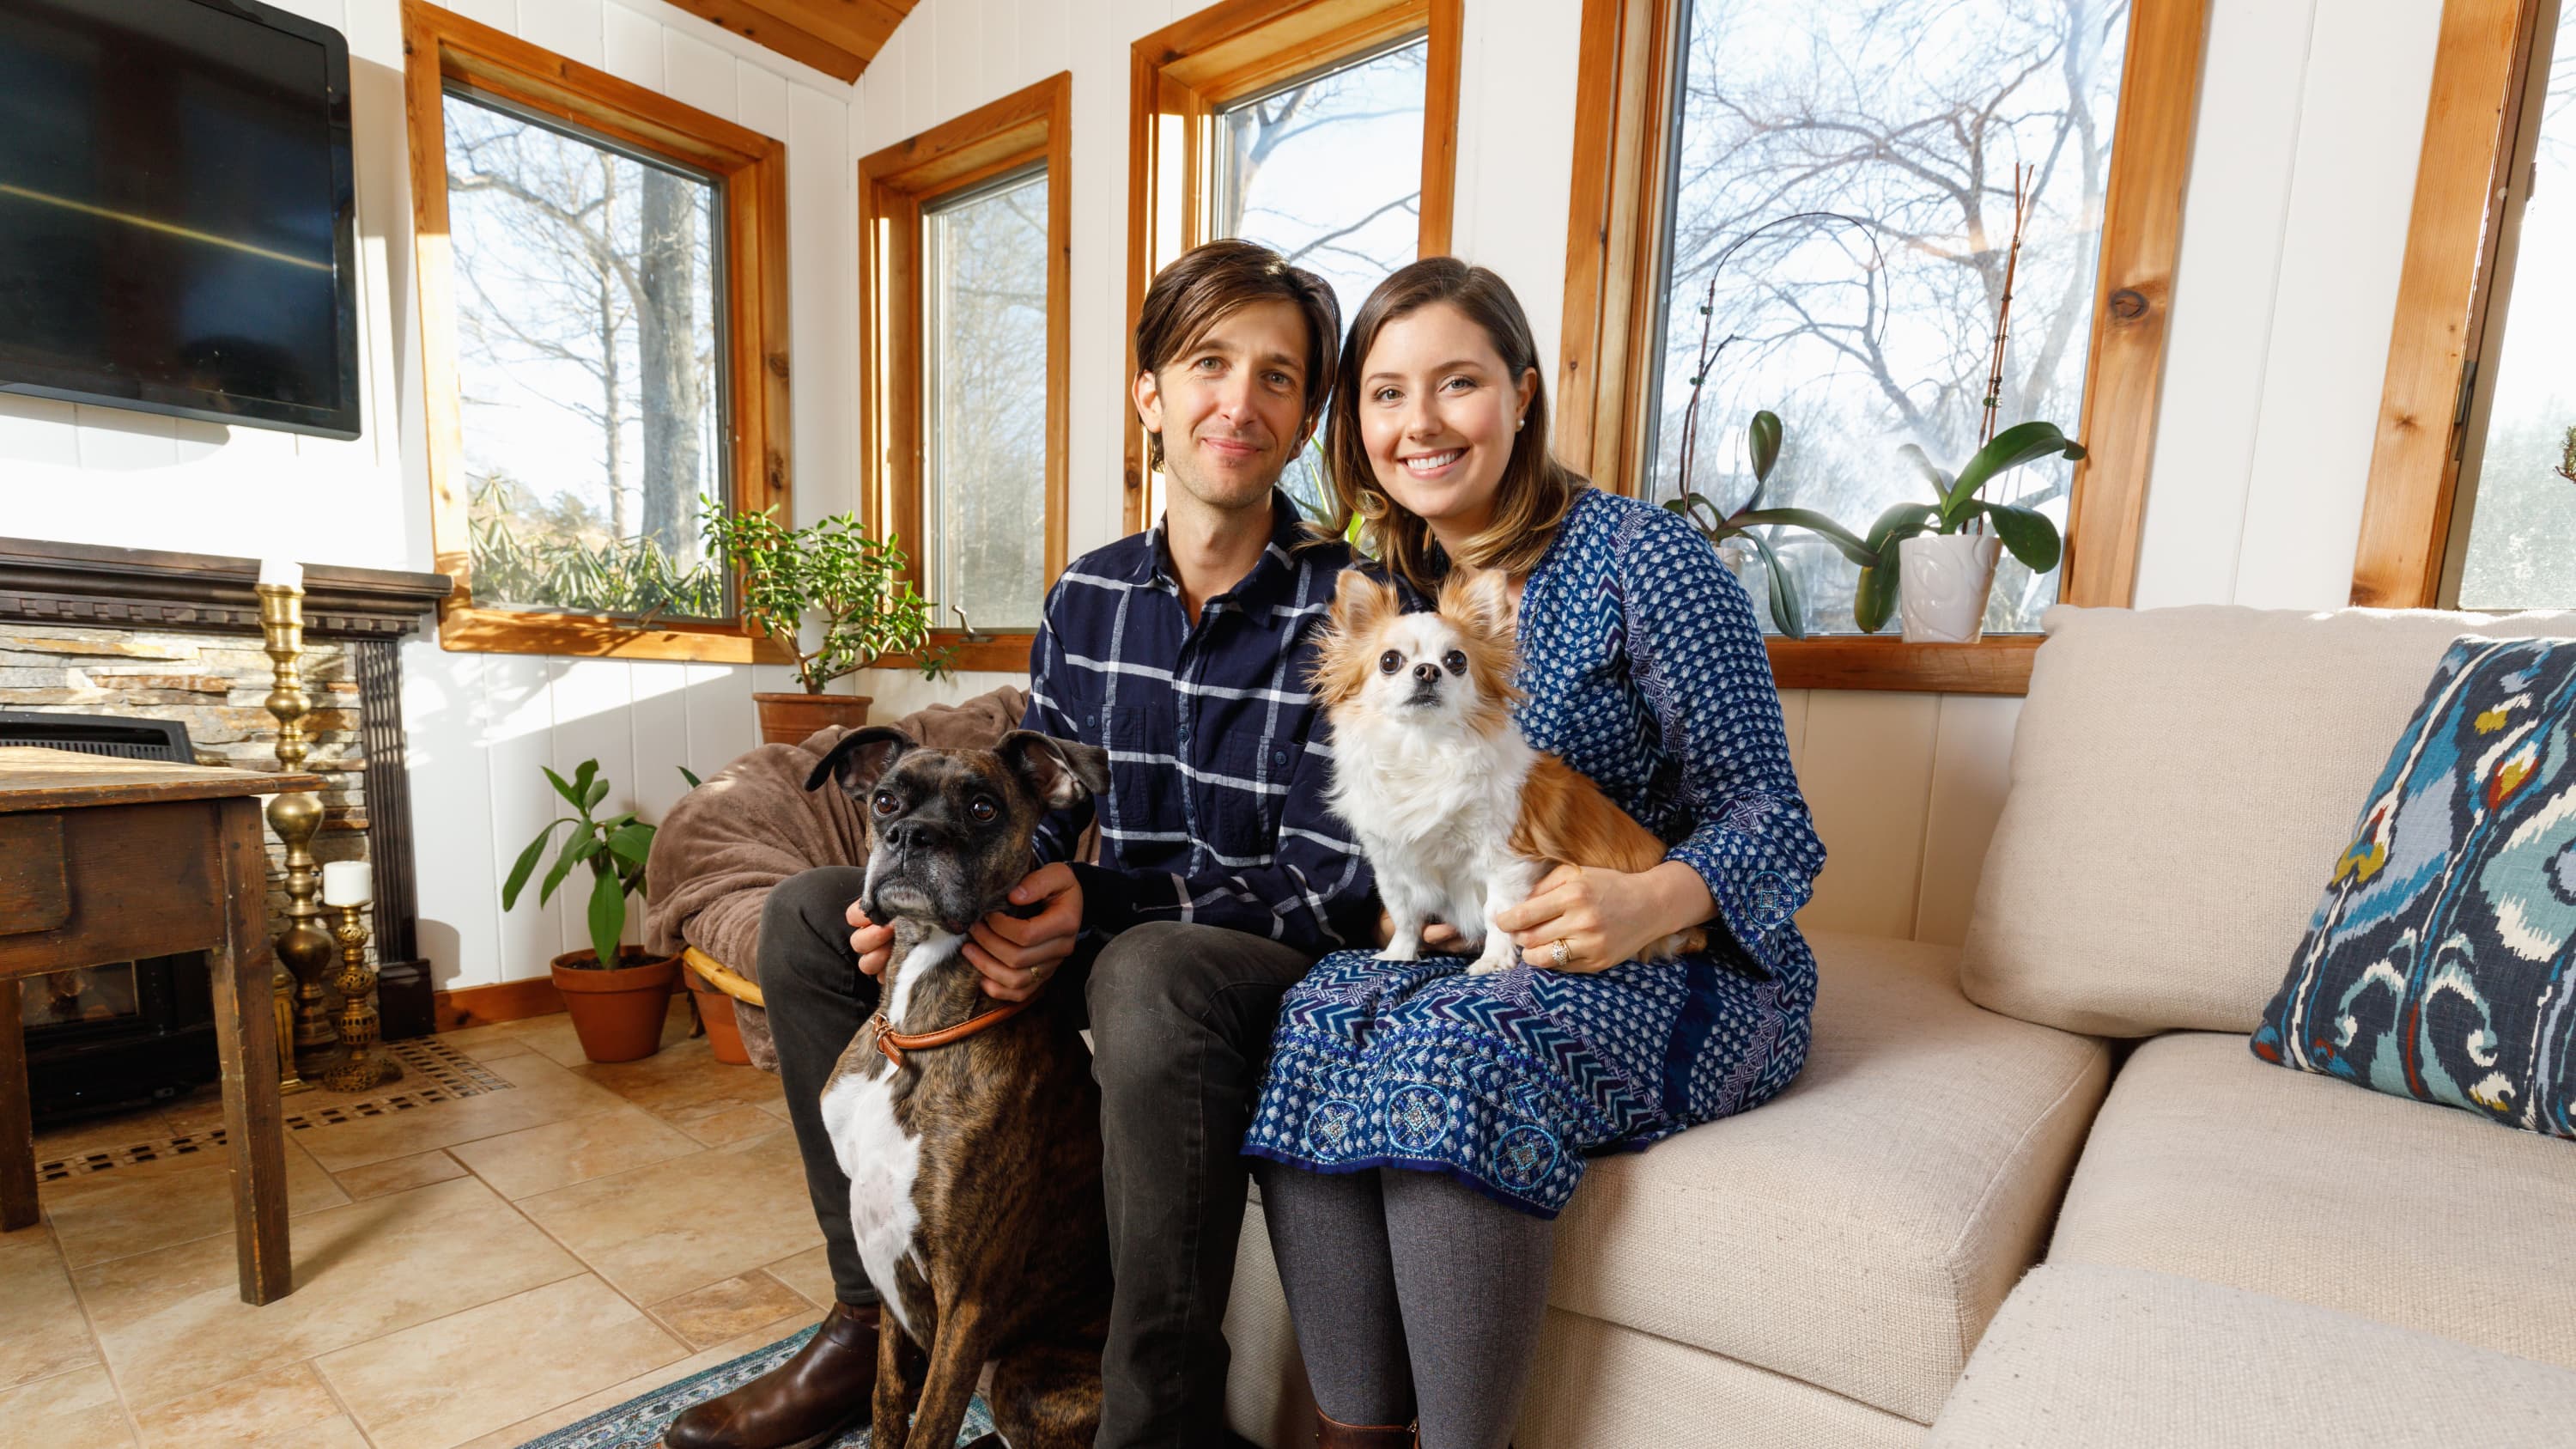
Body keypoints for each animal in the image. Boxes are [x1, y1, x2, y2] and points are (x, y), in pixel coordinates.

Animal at [804, 727, 1118, 1443]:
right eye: (885, 800)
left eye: (982, 808)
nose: (911, 835)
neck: (913, 1032)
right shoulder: (890, 1275)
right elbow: (888, 1402)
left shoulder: (967, 1300)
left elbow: (927, 1427)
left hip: (1023, 1381)